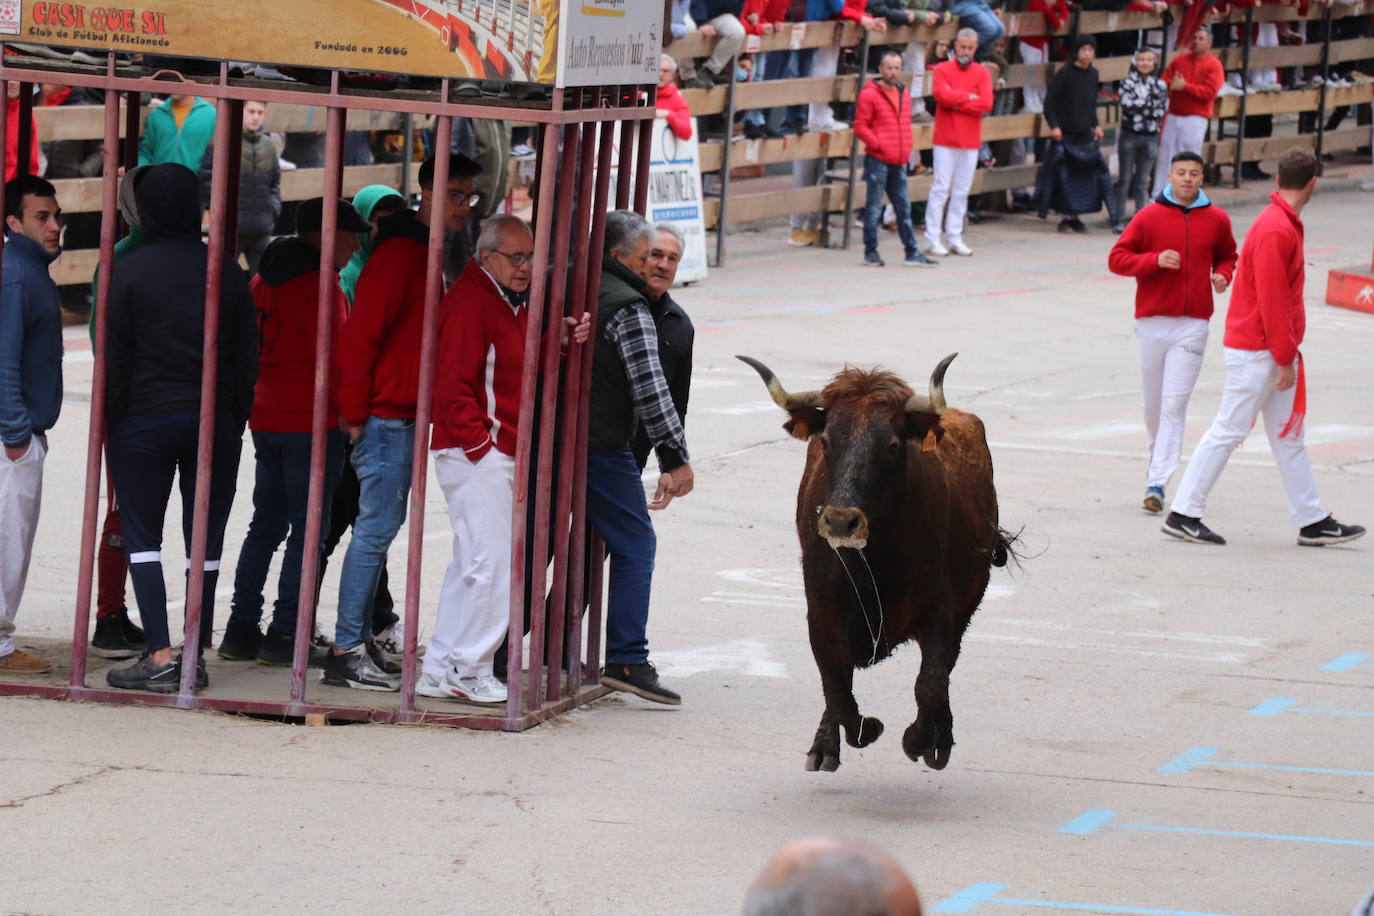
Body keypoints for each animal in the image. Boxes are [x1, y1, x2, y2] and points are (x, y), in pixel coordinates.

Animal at [741, 354, 1011, 769]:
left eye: (892, 445)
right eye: (826, 440)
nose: (840, 521)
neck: (873, 563)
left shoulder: (942, 611)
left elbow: (931, 679)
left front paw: (921, 740)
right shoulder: (820, 613)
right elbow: (836, 687)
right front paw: (853, 734)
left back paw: (939, 739)